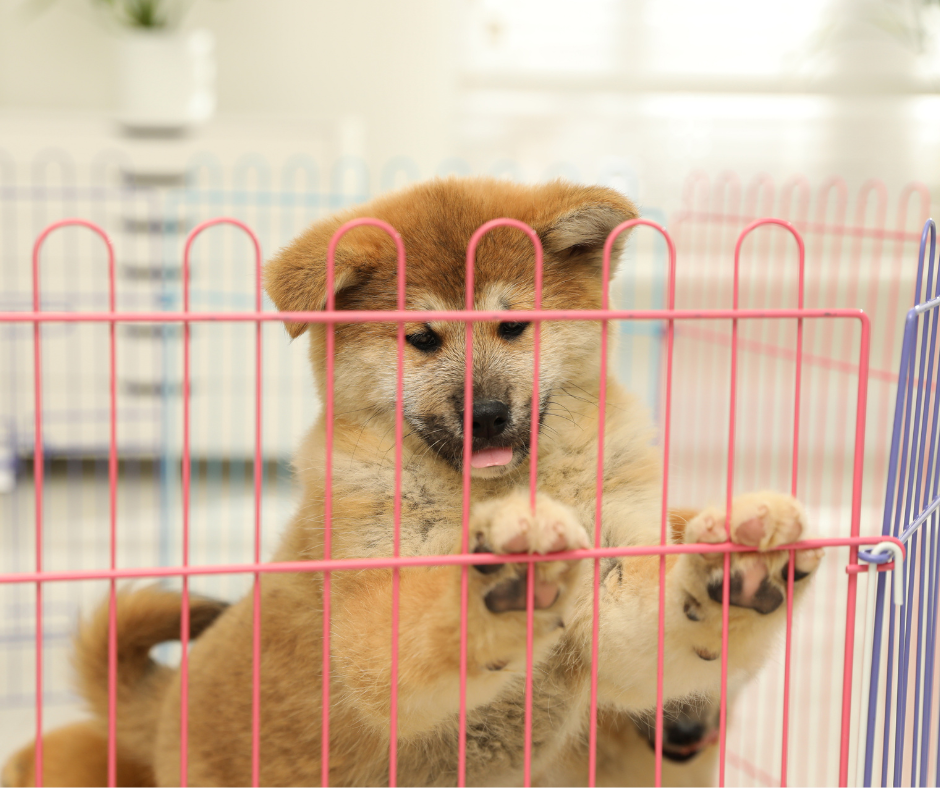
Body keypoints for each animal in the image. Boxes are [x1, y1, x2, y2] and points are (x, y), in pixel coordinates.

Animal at [3, 175, 820, 784]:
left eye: (513, 327)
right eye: (422, 339)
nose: (486, 414)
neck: (490, 487)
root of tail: (168, 702)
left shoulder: (617, 581)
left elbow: (666, 614)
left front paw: (739, 562)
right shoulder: (378, 608)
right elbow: (432, 619)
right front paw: (502, 571)